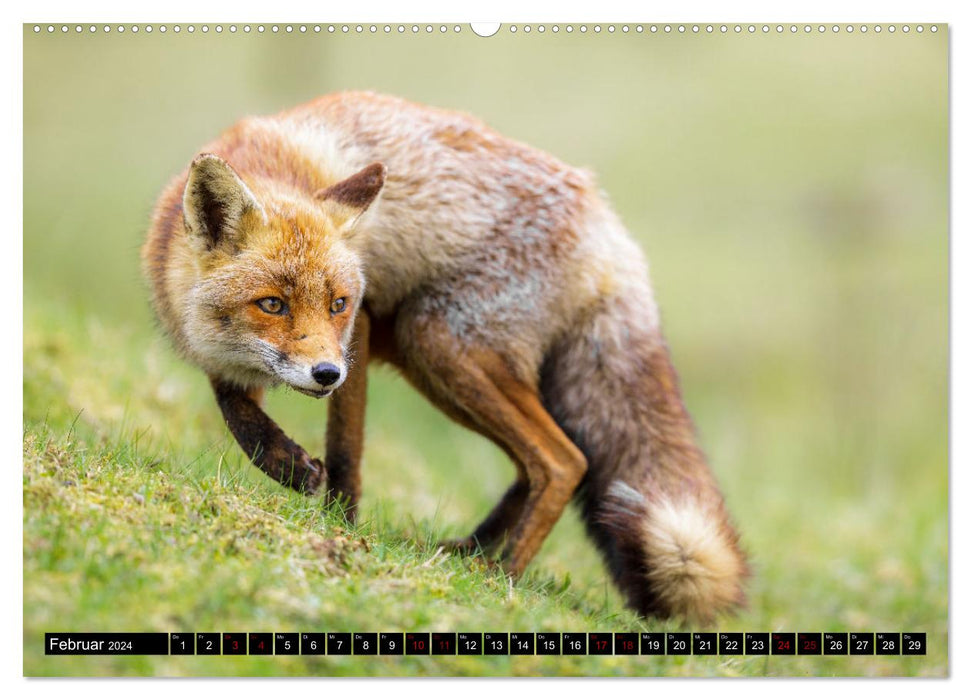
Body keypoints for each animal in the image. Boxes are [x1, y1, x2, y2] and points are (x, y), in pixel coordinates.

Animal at [142, 90, 752, 620]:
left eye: (338, 303)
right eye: (273, 304)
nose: (326, 374)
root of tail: (609, 228)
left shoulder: (359, 333)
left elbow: (345, 453)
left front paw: (340, 530)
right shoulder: (225, 354)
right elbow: (236, 412)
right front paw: (285, 464)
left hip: (437, 341)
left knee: (563, 461)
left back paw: (500, 575)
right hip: (433, 360)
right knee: (545, 462)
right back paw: (468, 551)